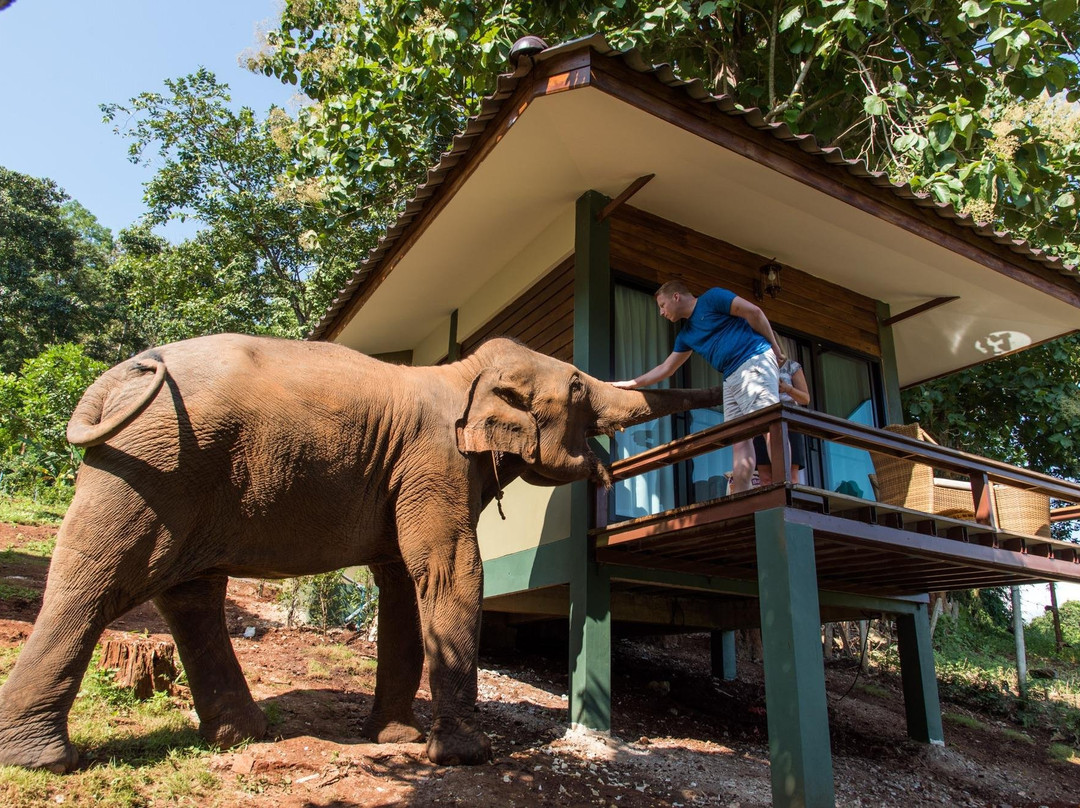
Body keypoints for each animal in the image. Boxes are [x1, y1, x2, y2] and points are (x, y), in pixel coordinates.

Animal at [0, 332, 725, 769]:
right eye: (577, 387)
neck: (463, 374)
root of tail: (116, 376)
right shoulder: (433, 462)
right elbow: (451, 571)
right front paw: (462, 756)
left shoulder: (410, 475)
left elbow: (405, 583)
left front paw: (396, 740)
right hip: (153, 465)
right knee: (96, 582)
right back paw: (43, 761)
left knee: (190, 592)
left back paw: (243, 736)